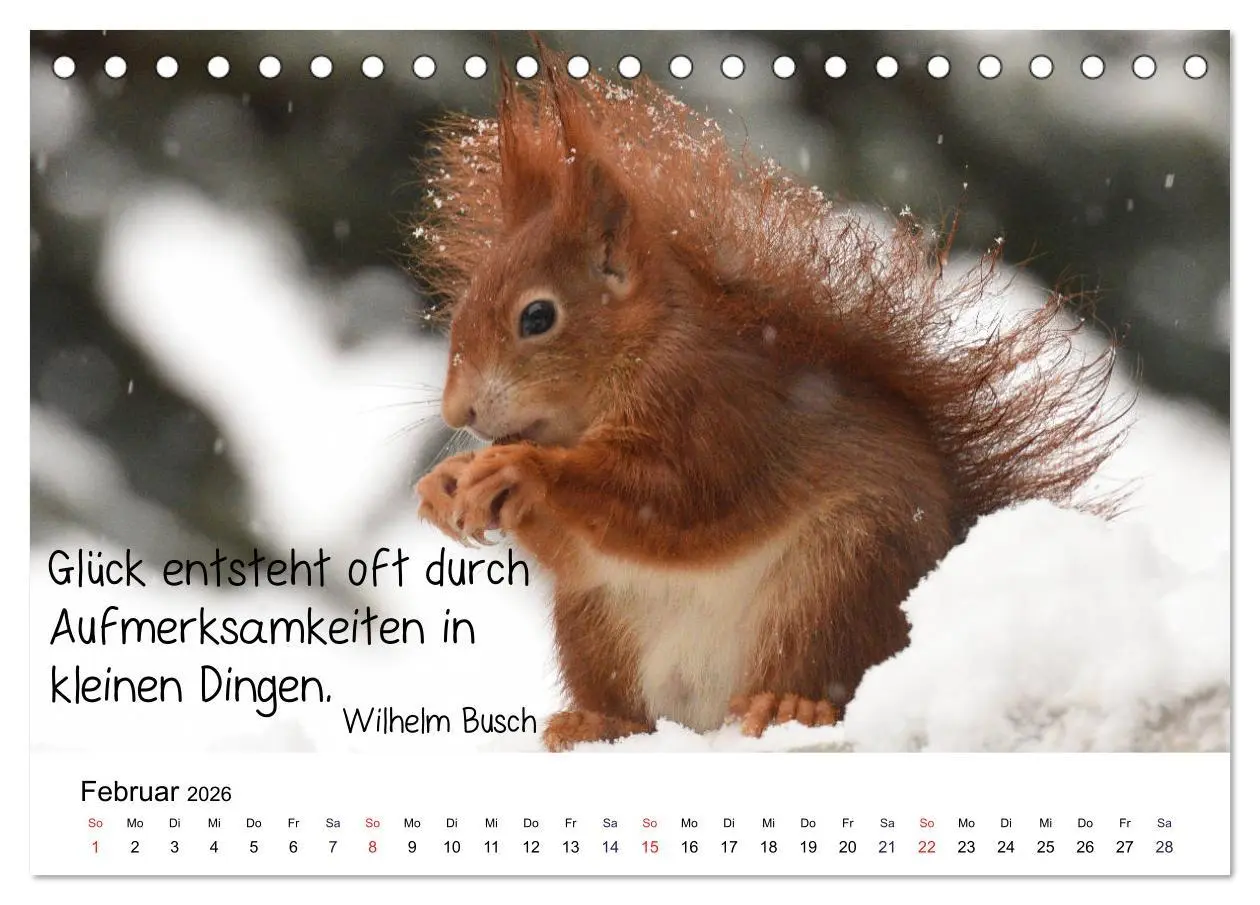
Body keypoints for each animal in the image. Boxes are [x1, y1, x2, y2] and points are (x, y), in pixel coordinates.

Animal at [409, 48, 1129, 751]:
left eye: (538, 317)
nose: (456, 414)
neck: (632, 362)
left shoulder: (720, 411)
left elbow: (674, 498)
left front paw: (522, 468)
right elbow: (577, 546)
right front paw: (443, 484)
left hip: (839, 577)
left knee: (825, 677)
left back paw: (791, 703)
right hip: (594, 619)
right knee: (632, 704)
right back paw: (598, 721)